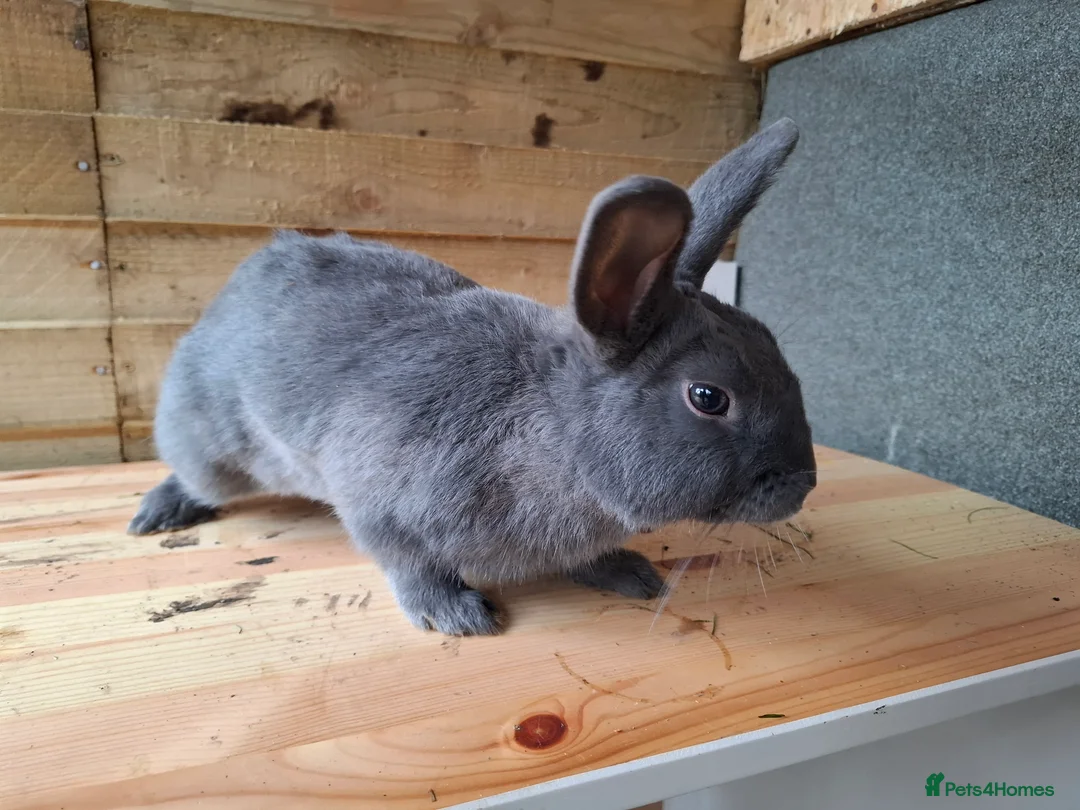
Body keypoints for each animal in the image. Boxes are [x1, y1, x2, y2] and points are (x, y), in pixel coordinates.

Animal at [128, 118, 815, 636]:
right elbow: (407, 564)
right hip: (214, 444)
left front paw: (630, 573)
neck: (555, 437)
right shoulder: (378, 505)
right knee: (194, 473)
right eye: (708, 397)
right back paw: (157, 514)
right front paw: (455, 615)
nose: (804, 484)